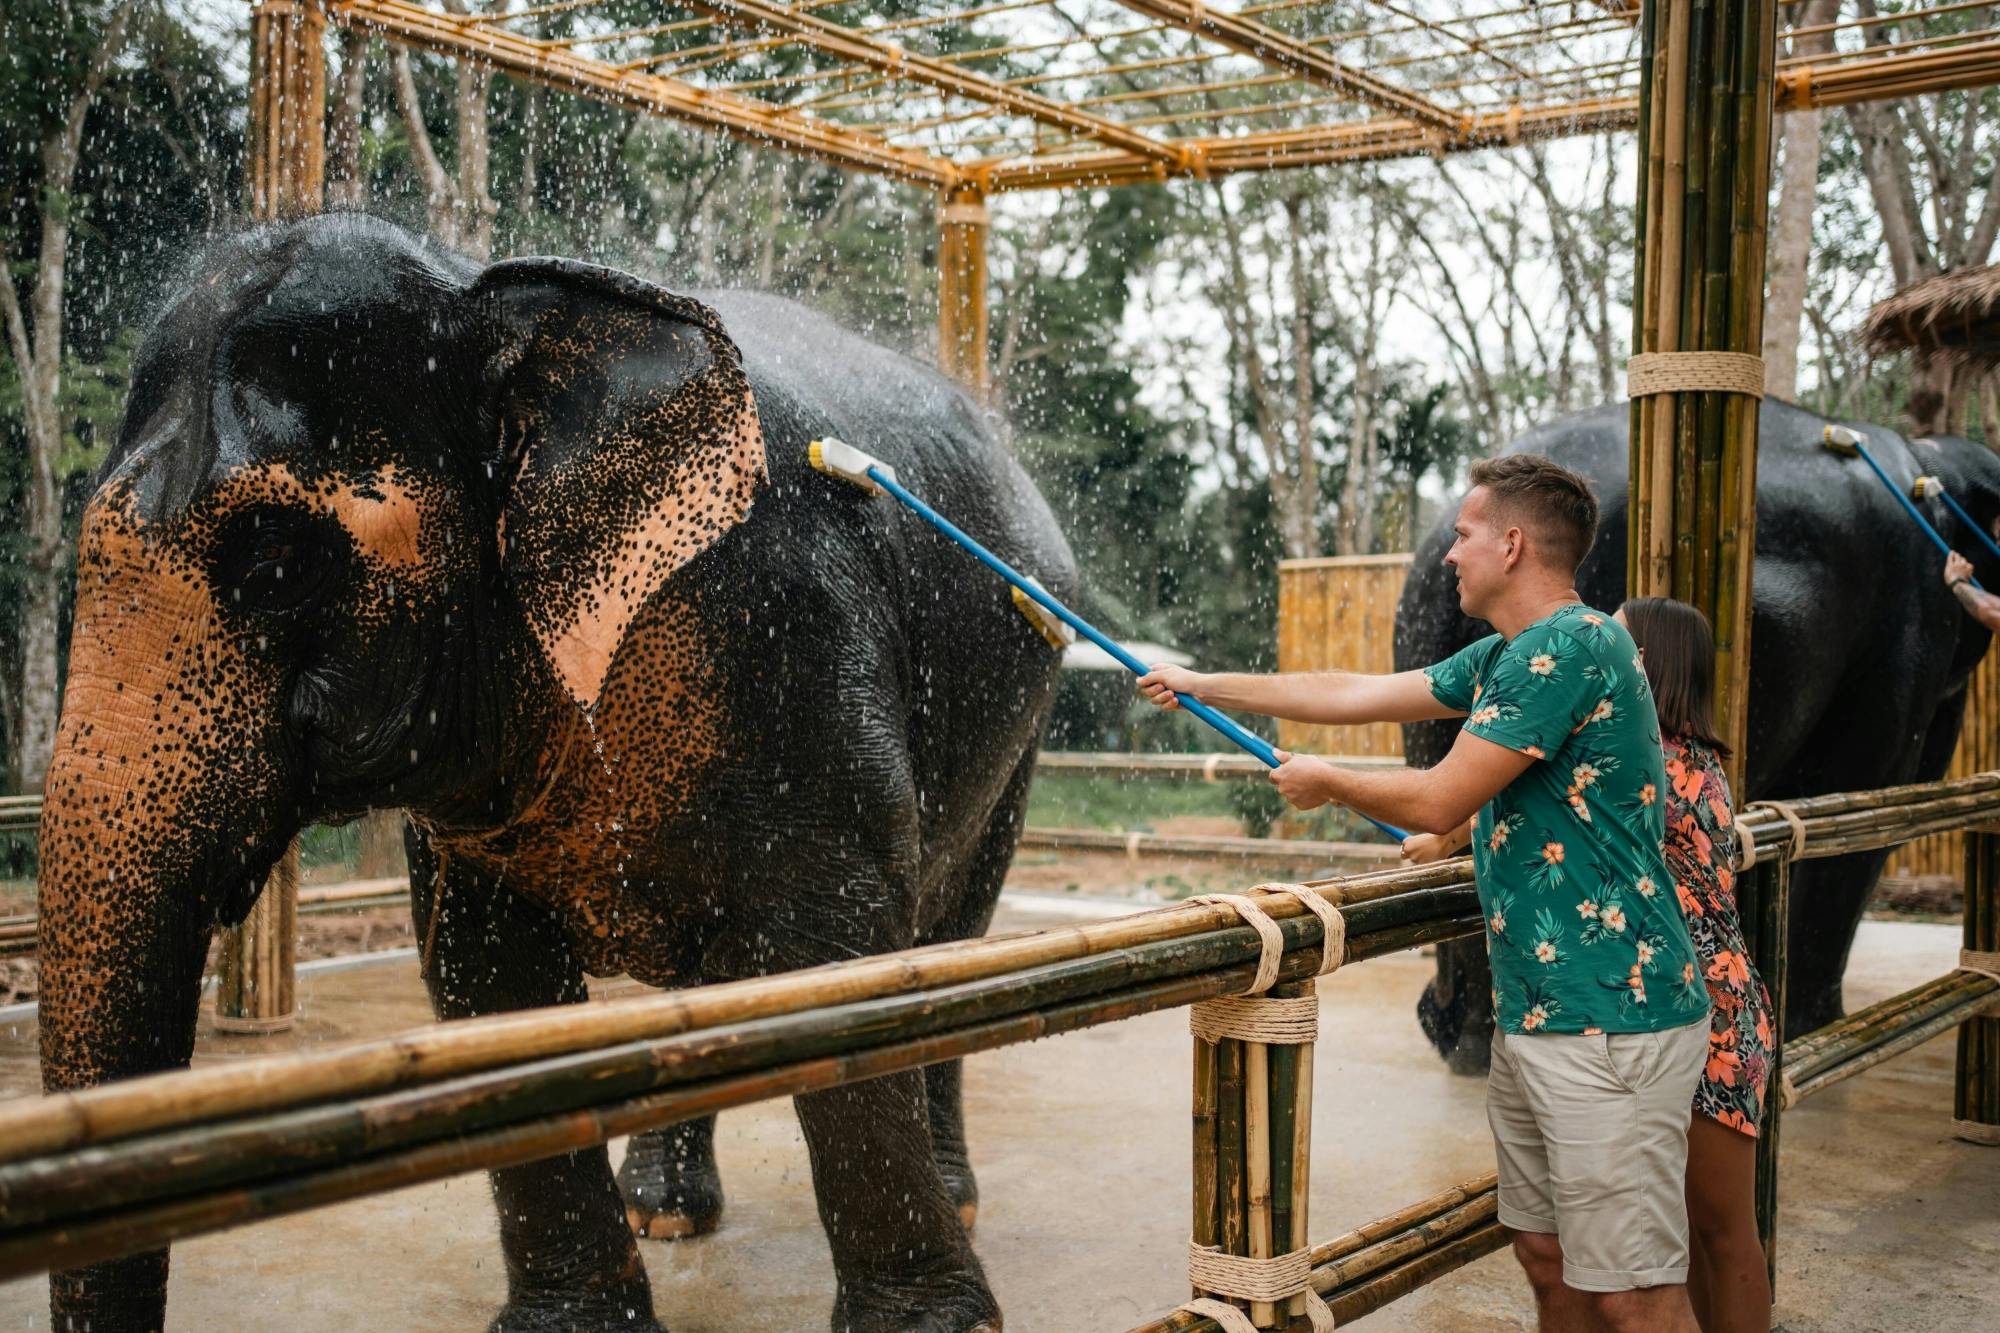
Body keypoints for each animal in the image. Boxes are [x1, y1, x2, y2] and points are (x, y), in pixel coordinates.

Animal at [35, 213, 1075, 1332]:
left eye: (274, 567)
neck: (483, 290)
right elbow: (489, 973)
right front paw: (572, 1321)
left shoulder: (790, 625)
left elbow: (836, 950)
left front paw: (930, 1327)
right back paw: (667, 1212)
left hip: (1024, 720)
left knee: (949, 929)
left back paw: (948, 1198)